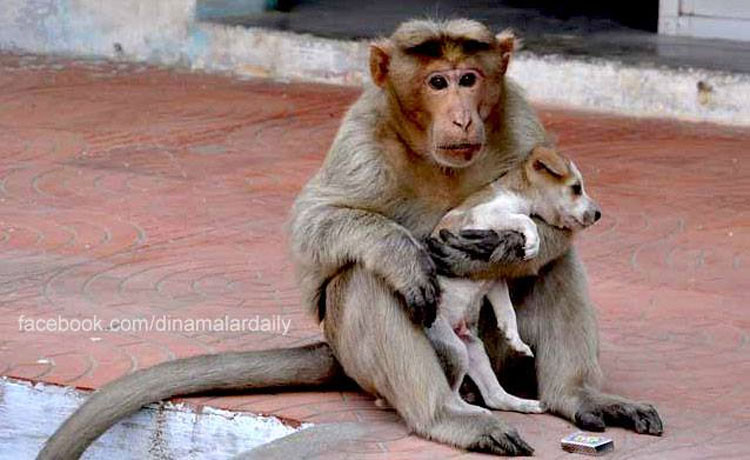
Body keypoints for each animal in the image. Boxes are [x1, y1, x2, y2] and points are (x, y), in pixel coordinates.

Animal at [39, 18, 664, 460]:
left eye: (470, 78)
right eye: (437, 82)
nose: (462, 116)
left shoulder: (522, 117)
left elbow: (545, 242)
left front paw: (507, 249)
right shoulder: (363, 135)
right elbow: (317, 228)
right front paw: (419, 254)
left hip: (488, 353)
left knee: (554, 270)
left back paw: (571, 396)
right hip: (384, 358)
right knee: (365, 280)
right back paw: (446, 415)